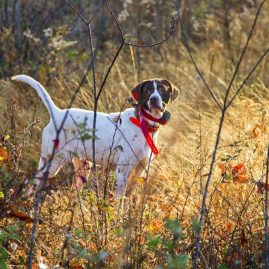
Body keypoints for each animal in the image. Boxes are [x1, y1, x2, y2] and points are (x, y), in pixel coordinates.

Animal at [11, 74, 178, 196]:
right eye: (148, 91)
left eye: (162, 90)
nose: (154, 99)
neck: (143, 124)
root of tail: (57, 114)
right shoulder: (122, 172)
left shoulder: (139, 171)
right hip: (50, 164)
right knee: (30, 187)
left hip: (83, 167)